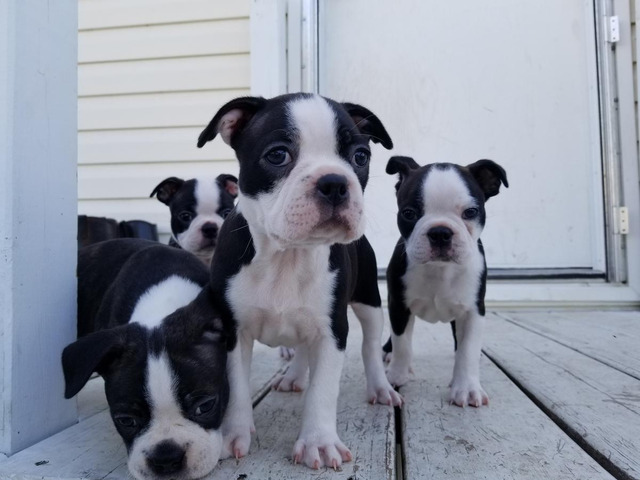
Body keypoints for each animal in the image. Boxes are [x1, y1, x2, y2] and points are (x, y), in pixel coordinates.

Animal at [198, 93, 402, 468]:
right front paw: (233, 434)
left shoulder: (332, 330)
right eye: (278, 155)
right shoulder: (234, 331)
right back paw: (293, 376)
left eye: (360, 157)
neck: (287, 255)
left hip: (368, 301)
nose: (335, 182)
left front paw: (318, 442)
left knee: (369, 347)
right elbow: (236, 386)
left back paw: (381, 388)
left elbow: (323, 390)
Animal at [382, 158, 508, 408]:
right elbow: (402, 343)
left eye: (470, 212)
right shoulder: (399, 305)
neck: (439, 269)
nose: (440, 231)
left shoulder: (473, 310)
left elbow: (467, 350)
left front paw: (467, 388)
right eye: (409, 213)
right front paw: (396, 375)